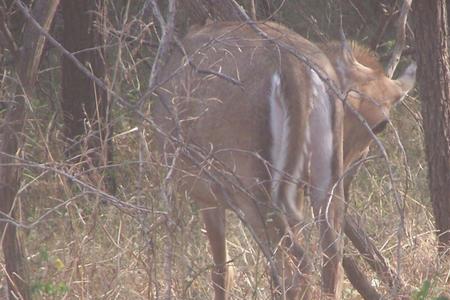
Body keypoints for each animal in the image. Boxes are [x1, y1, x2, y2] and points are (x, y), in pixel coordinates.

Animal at [152, 21, 414, 300]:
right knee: (329, 257)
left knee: (298, 263)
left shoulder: (206, 194)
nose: (347, 167)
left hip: (252, 184)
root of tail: (294, 68)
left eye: (380, 125)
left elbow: (222, 271)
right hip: (318, 184)